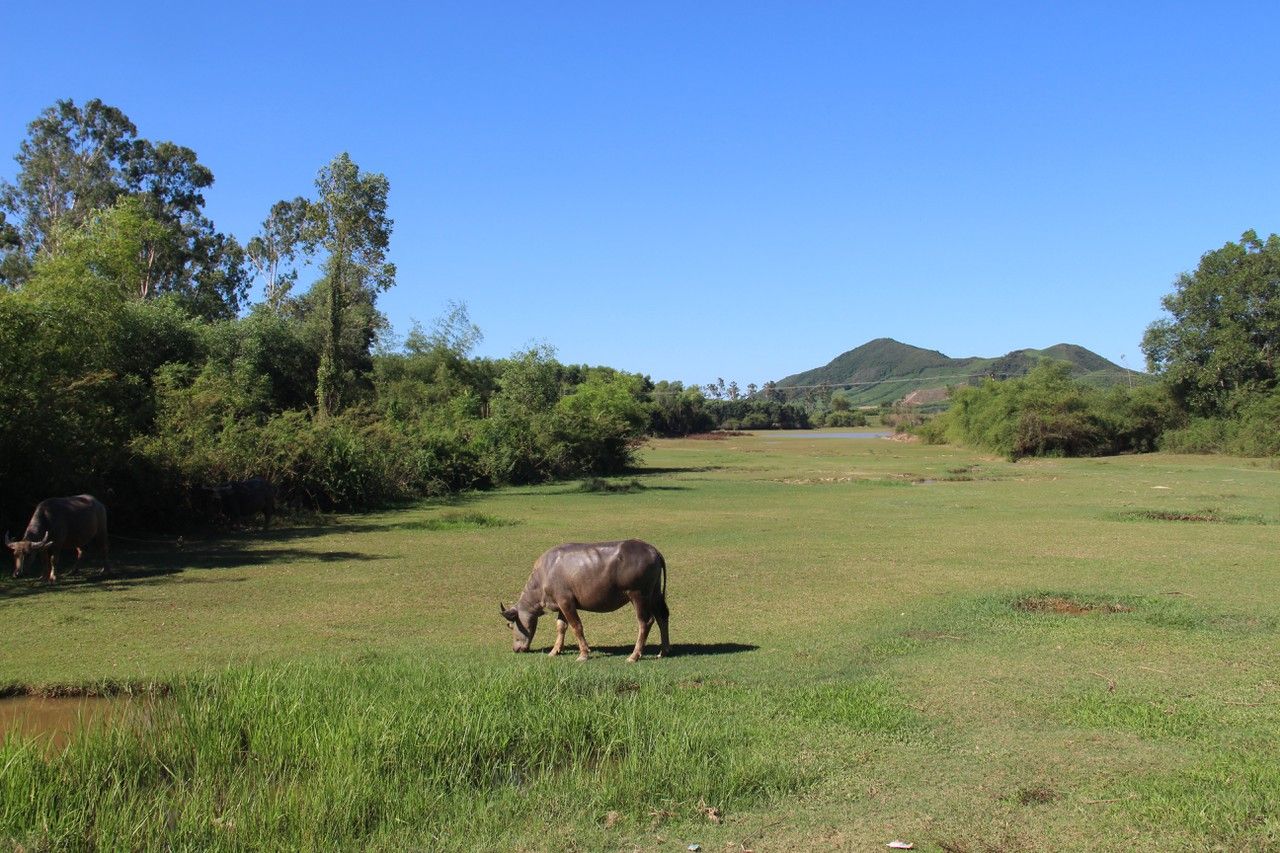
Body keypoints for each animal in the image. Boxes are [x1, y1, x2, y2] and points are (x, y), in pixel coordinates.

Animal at [499, 537, 670, 655]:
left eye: (510, 625)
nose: (516, 649)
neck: (546, 572)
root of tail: (652, 550)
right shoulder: (561, 605)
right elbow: (561, 626)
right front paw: (555, 651)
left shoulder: (566, 602)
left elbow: (576, 626)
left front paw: (583, 654)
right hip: (654, 593)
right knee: (662, 616)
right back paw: (663, 651)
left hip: (638, 595)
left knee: (645, 622)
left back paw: (634, 655)